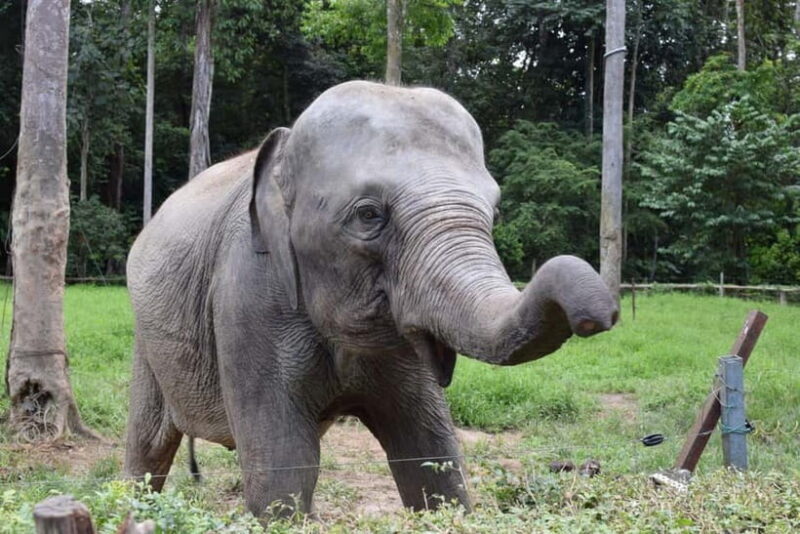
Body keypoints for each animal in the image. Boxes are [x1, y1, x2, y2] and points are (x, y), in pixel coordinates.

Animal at [123, 80, 618, 517]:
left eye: (494, 212)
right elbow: (283, 468)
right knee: (147, 443)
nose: (599, 316)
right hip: (145, 338)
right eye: (368, 215)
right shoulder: (247, 296)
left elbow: (428, 448)